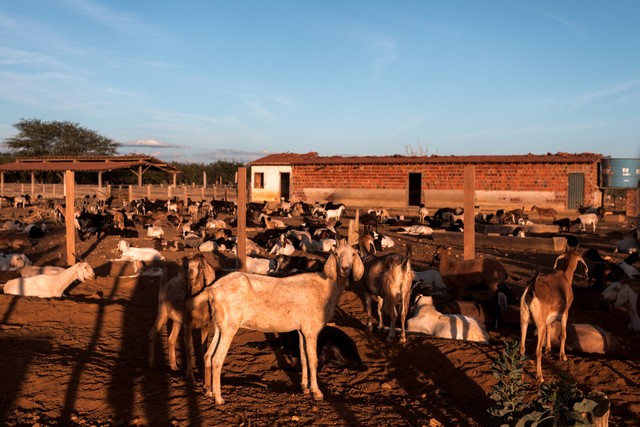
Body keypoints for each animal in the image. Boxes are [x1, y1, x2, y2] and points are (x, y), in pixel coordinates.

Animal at [147, 252, 215, 380]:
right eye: (187, 266)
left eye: (200, 266)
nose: (190, 278)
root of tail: (165, 285)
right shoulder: (188, 326)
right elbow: (189, 349)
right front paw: (190, 376)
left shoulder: (205, 326)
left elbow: (203, 349)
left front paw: (203, 375)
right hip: (162, 313)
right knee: (152, 334)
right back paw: (152, 364)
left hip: (177, 322)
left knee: (171, 339)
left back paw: (174, 366)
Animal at [205, 242, 364, 406]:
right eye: (336, 254)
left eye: (353, 254)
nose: (344, 268)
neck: (326, 287)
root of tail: (212, 289)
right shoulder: (311, 330)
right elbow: (313, 360)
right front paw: (317, 392)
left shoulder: (302, 330)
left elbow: (304, 358)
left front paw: (305, 388)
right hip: (230, 327)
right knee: (217, 359)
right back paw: (219, 398)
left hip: (220, 325)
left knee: (208, 355)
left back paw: (209, 392)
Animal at [516, 249, 588, 382]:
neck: (565, 277)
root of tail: (531, 290)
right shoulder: (565, 313)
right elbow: (563, 334)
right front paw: (563, 356)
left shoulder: (548, 320)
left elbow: (550, 329)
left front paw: (548, 349)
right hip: (539, 326)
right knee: (537, 350)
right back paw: (540, 376)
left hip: (524, 321)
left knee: (522, 347)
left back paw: (521, 375)